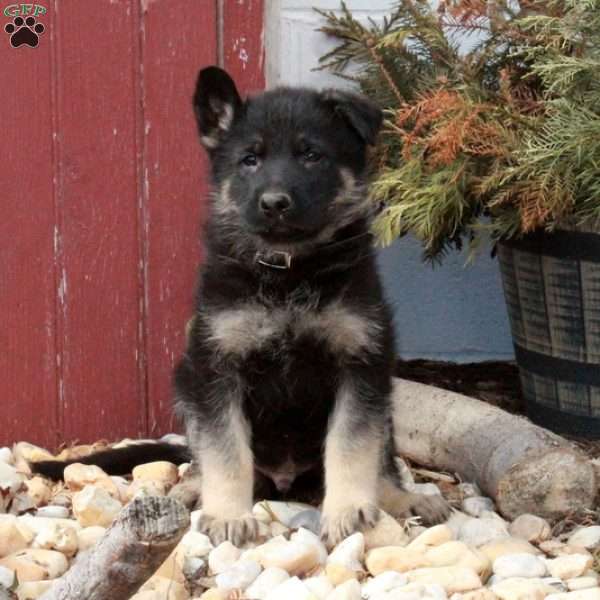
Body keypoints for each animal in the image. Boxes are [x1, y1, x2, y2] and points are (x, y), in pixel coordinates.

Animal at [31, 68, 446, 548]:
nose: (275, 203)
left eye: (311, 155)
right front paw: (229, 514)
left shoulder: (361, 364)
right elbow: (225, 451)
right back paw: (191, 491)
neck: (288, 271)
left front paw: (348, 510)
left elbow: (353, 444)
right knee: (197, 457)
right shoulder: (216, 370)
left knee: (383, 459)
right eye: (250, 160)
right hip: (185, 381)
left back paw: (404, 499)